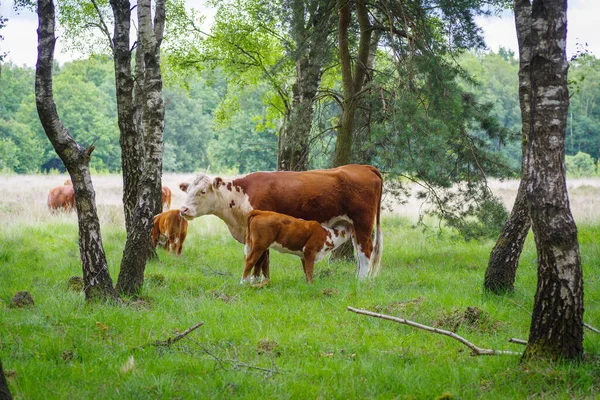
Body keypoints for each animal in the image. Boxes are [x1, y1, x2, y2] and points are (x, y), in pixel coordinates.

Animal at [179, 164, 384, 280]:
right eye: (187, 190)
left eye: (202, 191)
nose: (183, 210)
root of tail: (362, 167)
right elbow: (264, 261)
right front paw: (264, 281)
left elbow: (260, 259)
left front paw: (254, 282)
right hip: (352, 225)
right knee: (359, 252)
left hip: (362, 222)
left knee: (365, 251)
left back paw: (361, 281)